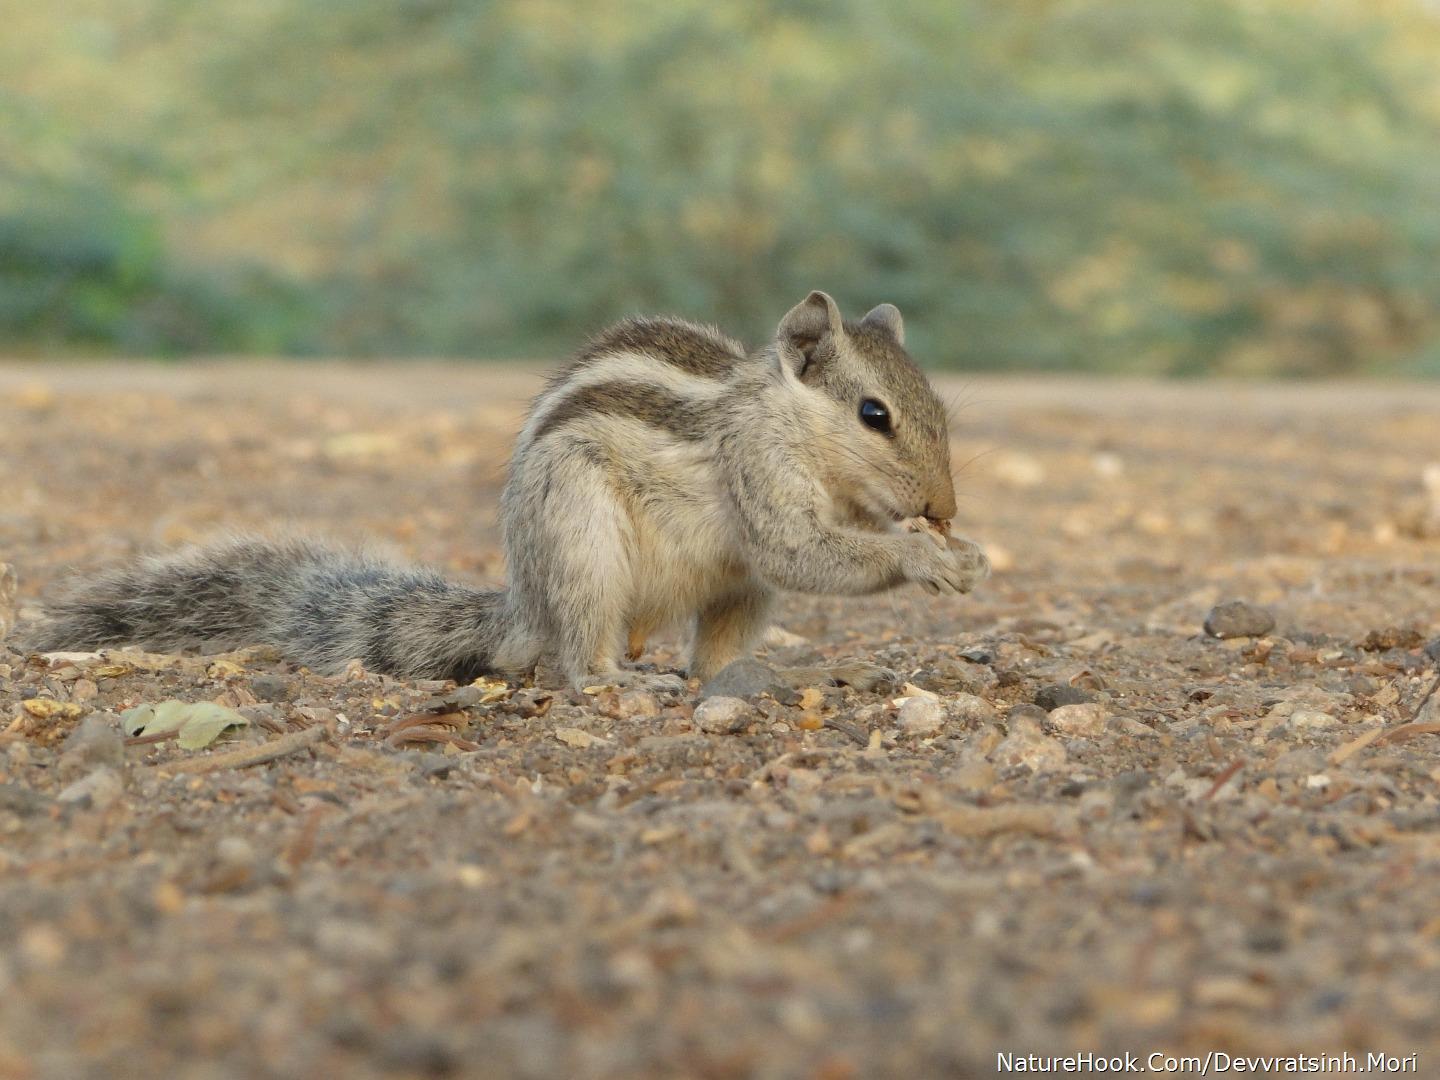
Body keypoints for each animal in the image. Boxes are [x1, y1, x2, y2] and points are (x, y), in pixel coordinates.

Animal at [28, 292, 990, 688]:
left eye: (941, 407)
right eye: (873, 414)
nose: (943, 509)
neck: (782, 418)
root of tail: (526, 603)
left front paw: (963, 553)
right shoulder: (758, 472)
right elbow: (803, 550)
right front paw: (924, 558)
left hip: (735, 592)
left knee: (709, 658)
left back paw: (773, 671)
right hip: (581, 545)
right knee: (579, 660)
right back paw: (614, 681)